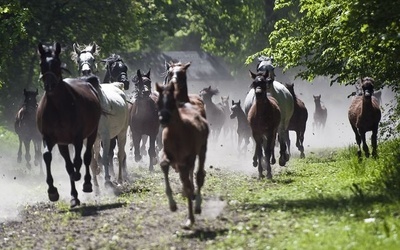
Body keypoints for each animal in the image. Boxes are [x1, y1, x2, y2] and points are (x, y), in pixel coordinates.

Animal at [36, 43, 101, 207]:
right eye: (42, 64)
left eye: (57, 63)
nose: (49, 85)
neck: (58, 107)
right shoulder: (50, 138)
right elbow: (48, 156)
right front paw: (52, 191)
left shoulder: (77, 137)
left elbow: (78, 161)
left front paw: (80, 178)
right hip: (63, 143)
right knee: (69, 164)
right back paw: (74, 197)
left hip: (92, 133)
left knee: (86, 157)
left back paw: (87, 183)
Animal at [155, 82, 209, 229]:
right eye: (158, 102)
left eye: (172, 102)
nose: (163, 119)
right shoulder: (169, 154)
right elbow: (164, 164)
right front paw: (172, 205)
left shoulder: (189, 156)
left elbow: (188, 182)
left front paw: (190, 219)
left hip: (202, 148)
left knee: (199, 175)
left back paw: (197, 205)